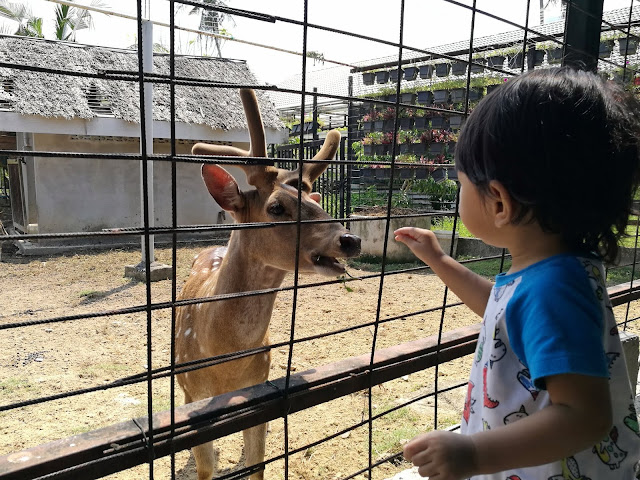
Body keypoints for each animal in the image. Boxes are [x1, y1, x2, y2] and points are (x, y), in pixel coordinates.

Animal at [175, 87, 360, 480]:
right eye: (276, 208)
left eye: (314, 200)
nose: (350, 239)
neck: (222, 359)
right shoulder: (195, 395)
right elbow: (205, 470)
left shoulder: (259, 389)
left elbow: (257, 464)